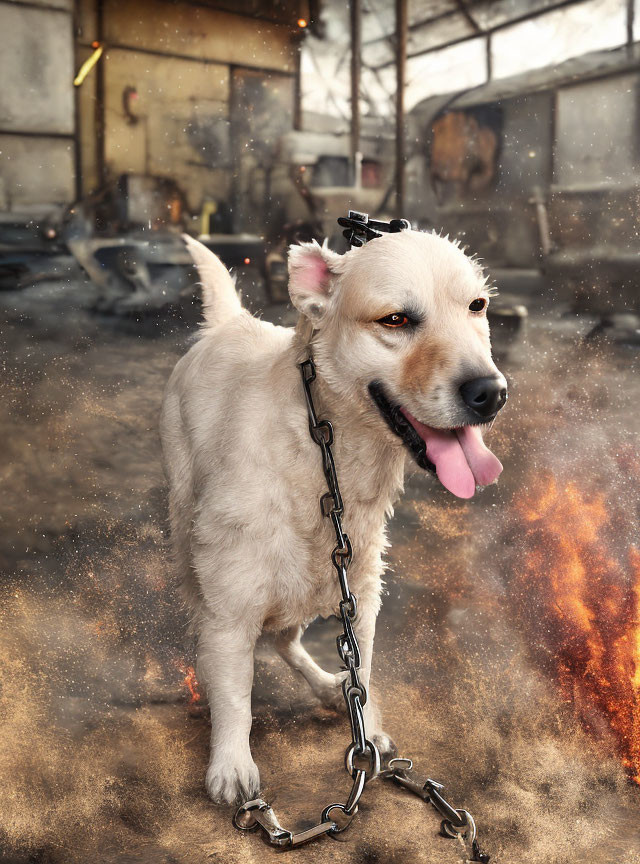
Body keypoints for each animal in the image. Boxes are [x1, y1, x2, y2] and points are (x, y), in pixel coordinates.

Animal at [162, 228, 508, 804]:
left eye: (477, 306)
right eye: (396, 319)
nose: (491, 393)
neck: (322, 453)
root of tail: (231, 321)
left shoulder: (360, 592)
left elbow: (361, 670)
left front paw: (363, 722)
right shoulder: (229, 606)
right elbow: (235, 695)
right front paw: (231, 765)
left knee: (287, 639)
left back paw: (327, 686)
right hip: (189, 532)